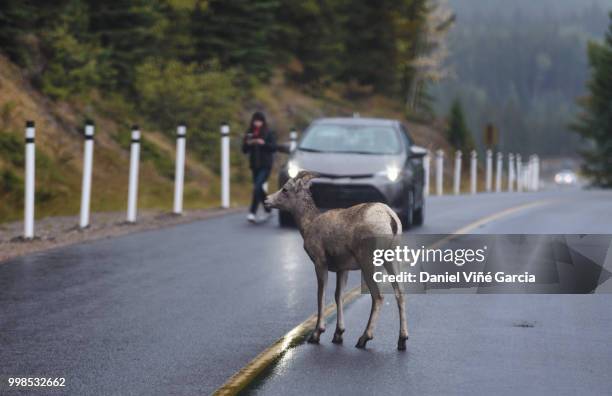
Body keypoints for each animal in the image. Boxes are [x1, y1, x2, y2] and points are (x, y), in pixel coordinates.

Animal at [266, 170, 408, 350]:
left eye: (285, 189)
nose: (266, 201)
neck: (310, 224)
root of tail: (390, 218)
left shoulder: (320, 263)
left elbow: (321, 295)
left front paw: (316, 335)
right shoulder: (342, 269)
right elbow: (338, 295)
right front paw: (338, 335)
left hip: (368, 264)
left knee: (378, 296)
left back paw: (363, 339)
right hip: (392, 261)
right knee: (400, 292)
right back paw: (402, 341)